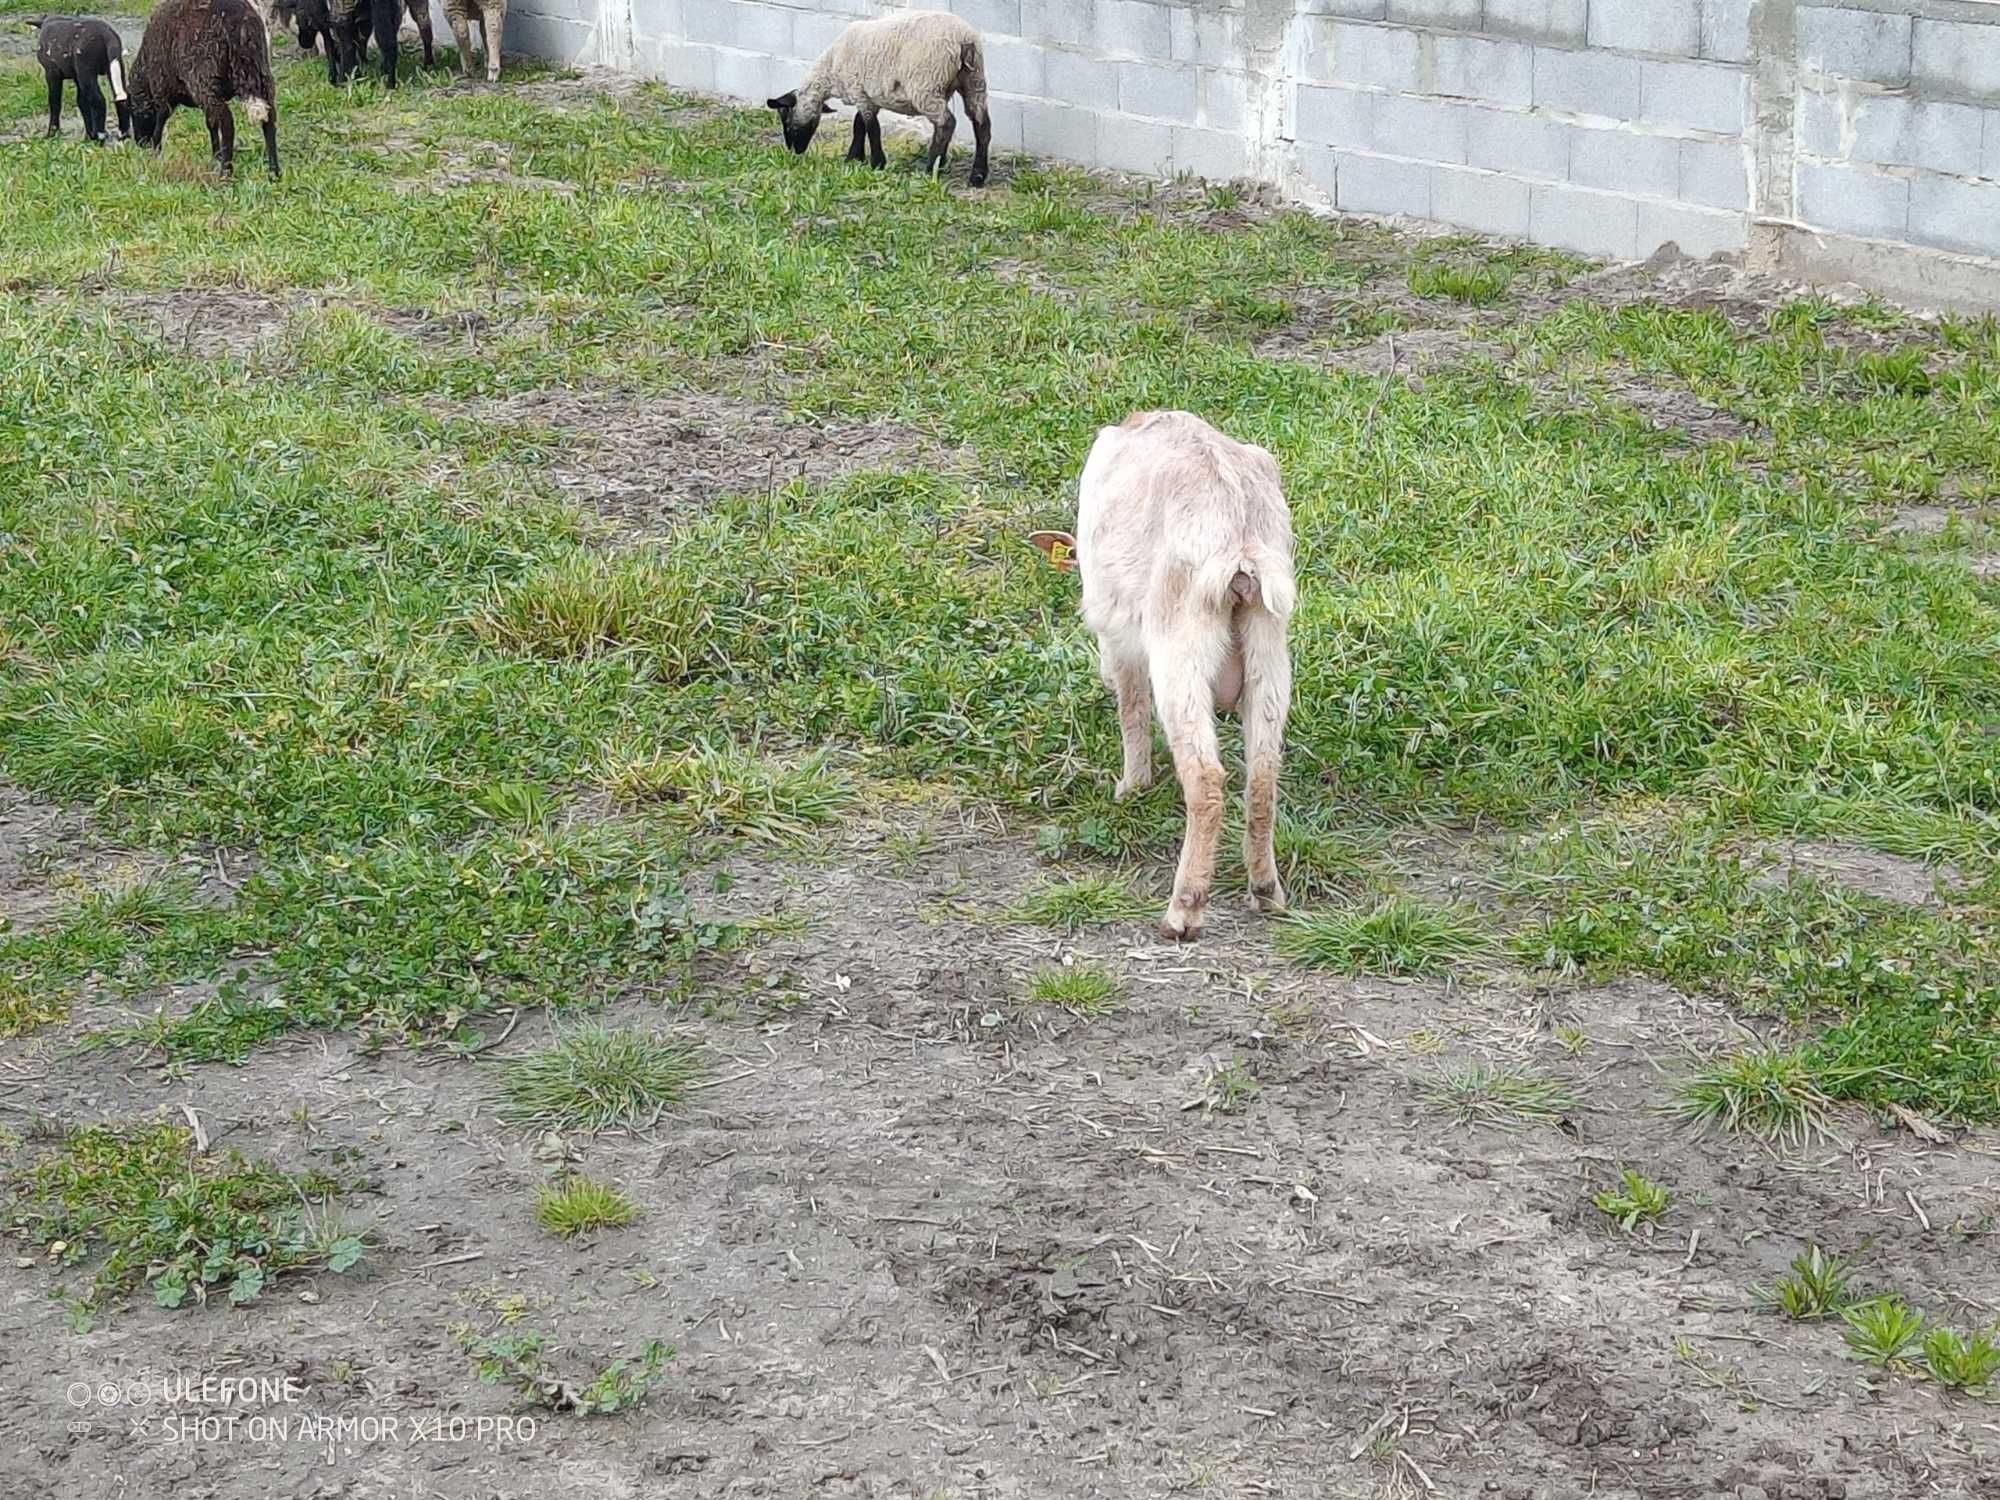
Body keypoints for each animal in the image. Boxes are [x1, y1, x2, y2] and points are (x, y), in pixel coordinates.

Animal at [32, 14, 133, 144]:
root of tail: (107, 35)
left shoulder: (52, 73)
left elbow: (55, 102)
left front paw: (52, 133)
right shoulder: (76, 76)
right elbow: (82, 102)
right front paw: (89, 134)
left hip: (86, 69)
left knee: (98, 100)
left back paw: (100, 136)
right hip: (114, 64)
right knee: (121, 96)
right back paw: (123, 134)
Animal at [129, 0, 282, 179]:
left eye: (133, 109)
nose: (140, 142)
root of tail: (241, 24)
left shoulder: (162, 88)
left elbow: (161, 118)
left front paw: (155, 150)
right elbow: (211, 123)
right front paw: (216, 155)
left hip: (206, 79)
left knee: (227, 122)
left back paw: (226, 174)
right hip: (261, 73)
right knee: (269, 118)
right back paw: (274, 172)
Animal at [760, 8, 988, 188]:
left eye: (785, 117)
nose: (794, 151)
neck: (830, 67)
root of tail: (963, 40)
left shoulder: (859, 92)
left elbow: (871, 127)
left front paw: (877, 163)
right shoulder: (869, 96)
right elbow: (859, 124)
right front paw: (854, 158)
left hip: (927, 85)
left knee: (947, 122)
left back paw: (931, 168)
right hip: (974, 80)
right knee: (981, 124)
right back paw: (977, 176)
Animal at [1032, 412, 1296, 944]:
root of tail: (1241, 550)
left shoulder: (1120, 635)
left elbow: (1131, 708)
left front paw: (1131, 787)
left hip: (1179, 649)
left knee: (1206, 779)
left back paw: (1183, 913)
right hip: (1269, 647)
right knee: (1262, 775)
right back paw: (1265, 892)